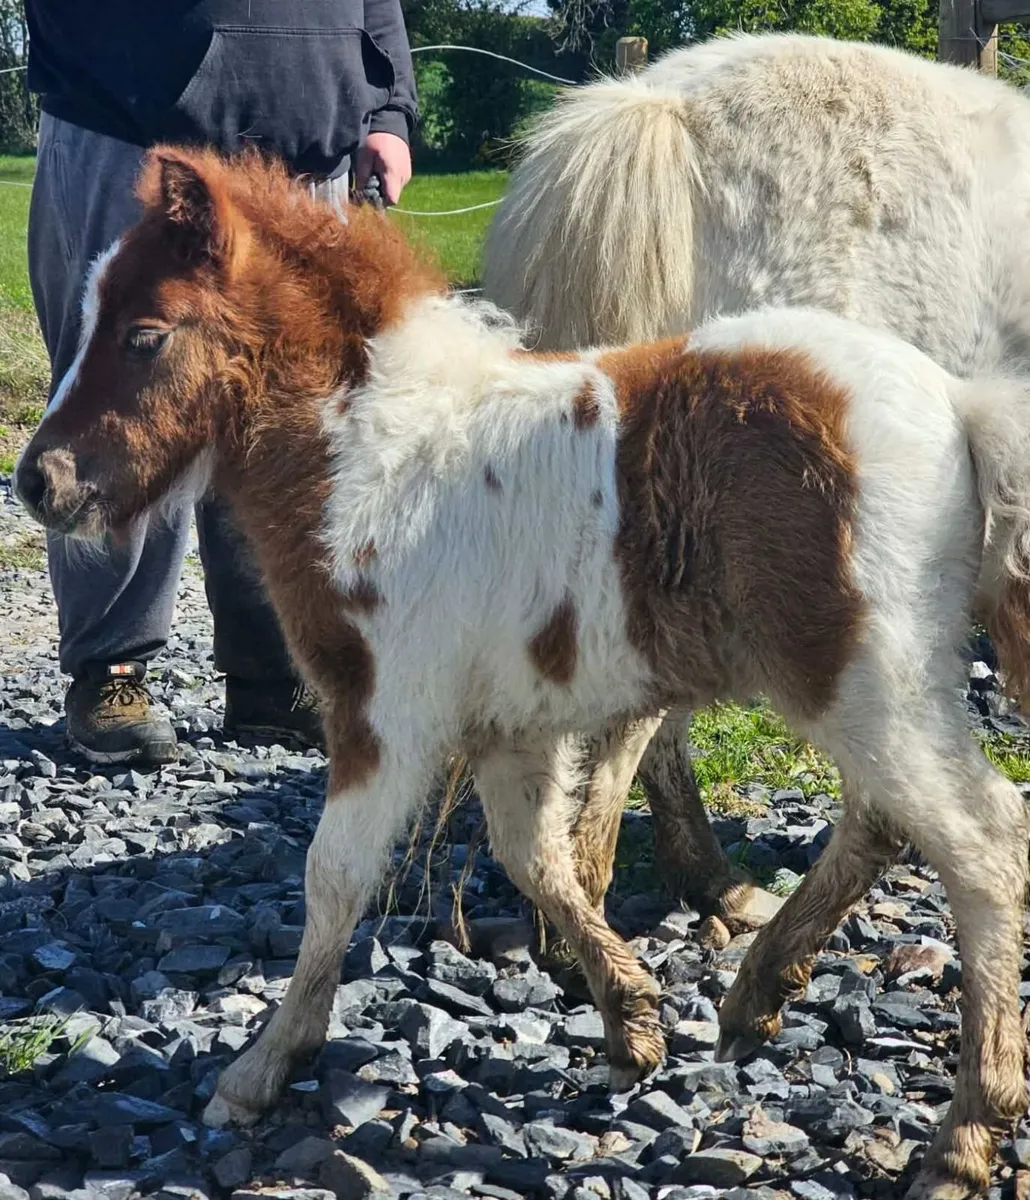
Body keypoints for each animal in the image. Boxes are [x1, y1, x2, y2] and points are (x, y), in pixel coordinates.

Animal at [13, 144, 1030, 1199]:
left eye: (144, 334)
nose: (39, 482)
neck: (376, 453)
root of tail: (958, 406)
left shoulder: (382, 714)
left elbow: (334, 878)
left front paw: (262, 1067)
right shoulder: (511, 726)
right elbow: (536, 857)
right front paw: (631, 1023)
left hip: (863, 683)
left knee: (982, 845)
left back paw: (965, 1136)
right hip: (872, 689)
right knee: (882, 823)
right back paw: (754, 998)